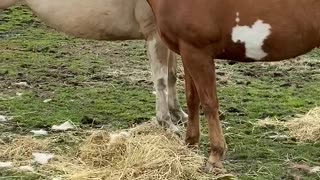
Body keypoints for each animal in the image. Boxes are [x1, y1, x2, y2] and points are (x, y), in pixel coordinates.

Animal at [147, 0, 320, 172]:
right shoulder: (186, 51)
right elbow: (192, 99)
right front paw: (190, 143)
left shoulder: (197, 52)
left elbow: (209, 104)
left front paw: (215, 156)